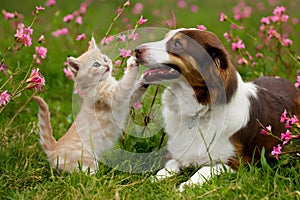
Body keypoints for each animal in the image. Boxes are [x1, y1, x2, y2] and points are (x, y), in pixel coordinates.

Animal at [33, 38, 145, 173]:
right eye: (96, 64)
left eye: (105, 59)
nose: (107, 65)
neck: (97, 84)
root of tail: (54, 148)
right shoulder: (116, 95)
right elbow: (127, 83)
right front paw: (132, 63)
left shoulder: (127, 100)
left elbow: (136, 89)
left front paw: (147, 78)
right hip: (86, 158)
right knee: (83, 173)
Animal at [135, 28, 300, 191]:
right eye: (165, 37)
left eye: (177, 44)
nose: (136, 50)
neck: (198, 112)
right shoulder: (176, 153)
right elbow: (170, 165)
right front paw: (155, 179)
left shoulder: (237, 162)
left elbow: (205, 169)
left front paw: (186, 185)